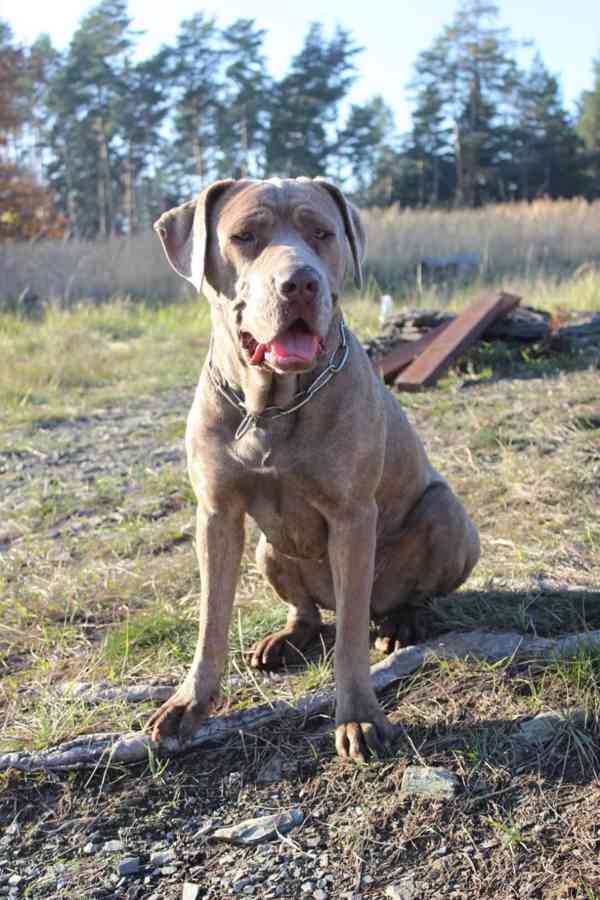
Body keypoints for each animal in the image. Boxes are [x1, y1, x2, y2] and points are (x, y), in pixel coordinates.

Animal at [146, 179, 478, 764]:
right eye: (244, 236)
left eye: (322, 233)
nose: (300, 282)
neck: (270, 404)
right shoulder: (217, 515)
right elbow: (211, 619)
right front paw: (189, 704)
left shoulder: (351, 516)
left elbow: (349, 641)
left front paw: (360, 718)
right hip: (267, 549)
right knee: (308, 610)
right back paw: (284, 640)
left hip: (448, 517)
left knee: (393, 597)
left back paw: (403, 622)